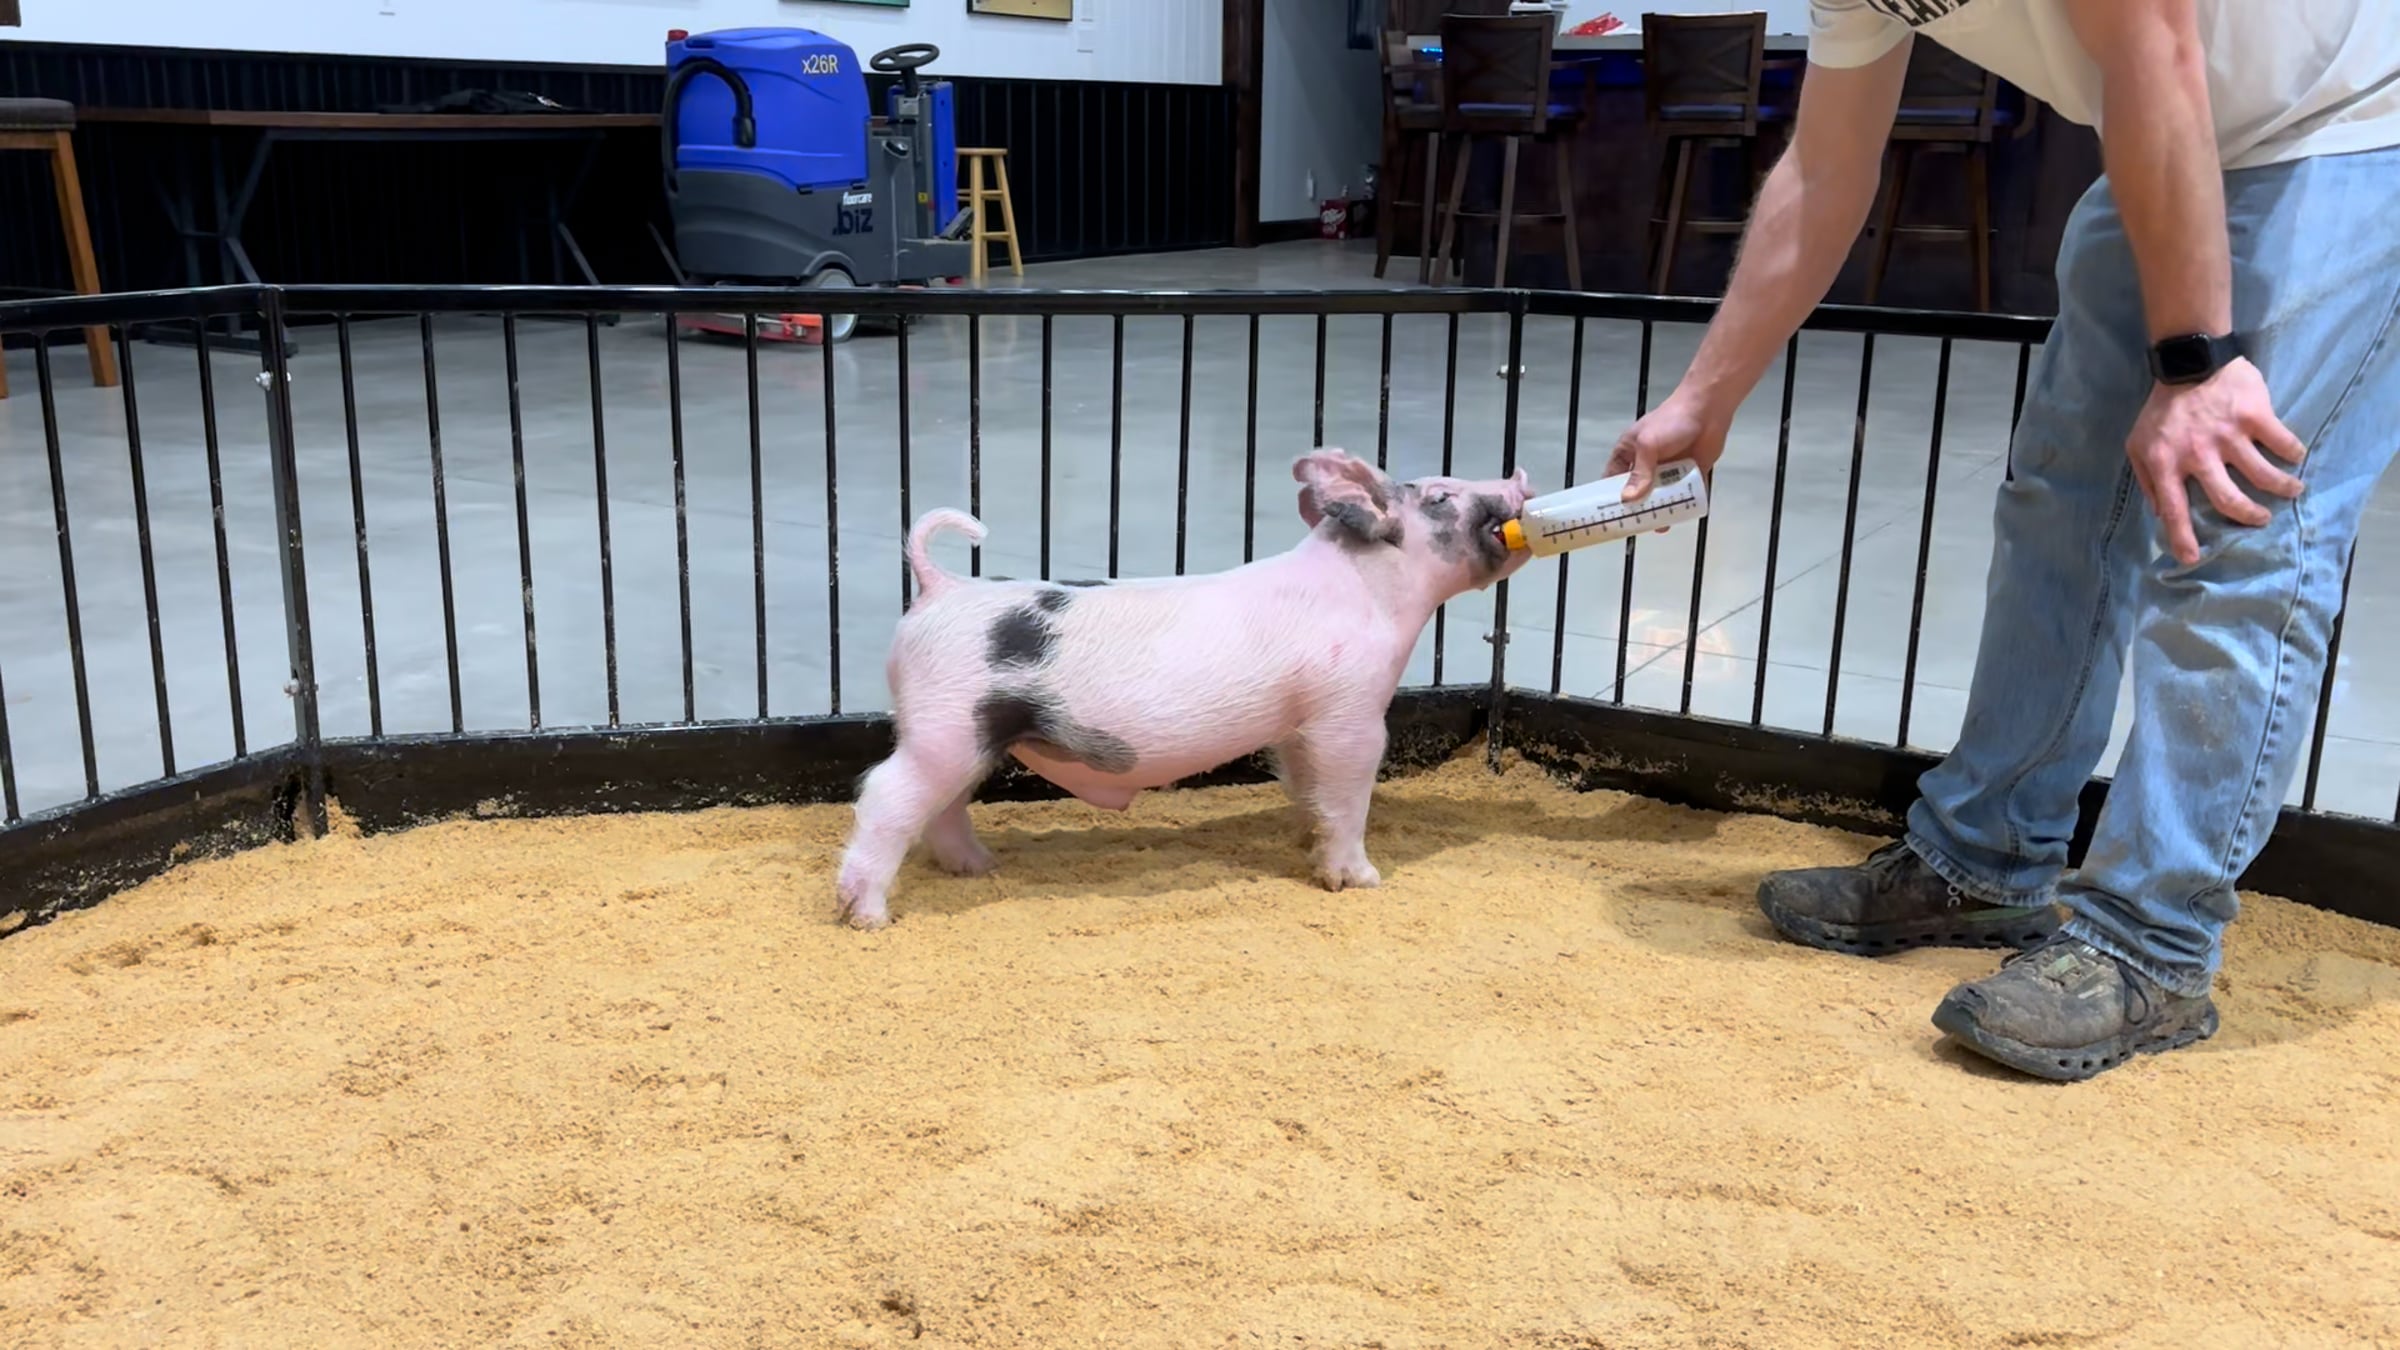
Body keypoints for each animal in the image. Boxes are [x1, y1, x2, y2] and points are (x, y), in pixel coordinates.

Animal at [833, 448, 1535, 929]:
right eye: (1440, 495)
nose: (1520, 478)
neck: (1372, 594)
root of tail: (940, 587)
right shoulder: (1351, 711)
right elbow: (1348, 793)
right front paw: (1361, 879)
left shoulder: (1299, 724)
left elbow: (1306, 786)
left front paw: (1305, 847)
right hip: (946, 726)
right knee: (884, 796)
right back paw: (868, 916)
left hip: (961, 731)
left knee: (941, 805)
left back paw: (980, 867)